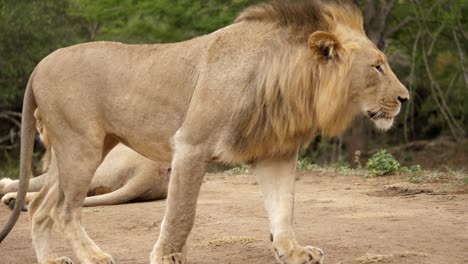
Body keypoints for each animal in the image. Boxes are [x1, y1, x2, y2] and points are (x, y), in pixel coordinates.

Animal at [0, 1, 410, 262]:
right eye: (377, 66)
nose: (405, 98)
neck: (291, 85)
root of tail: (40, 64)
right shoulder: (191, 144)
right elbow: (182, 213)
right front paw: (168, 257)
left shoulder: (275, 154)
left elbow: (283, 208)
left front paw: (293, 252)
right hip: (81, 147)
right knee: (64, 210)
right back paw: (94, 256)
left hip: (80, 152)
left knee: (41, 207)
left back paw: (52, 259)